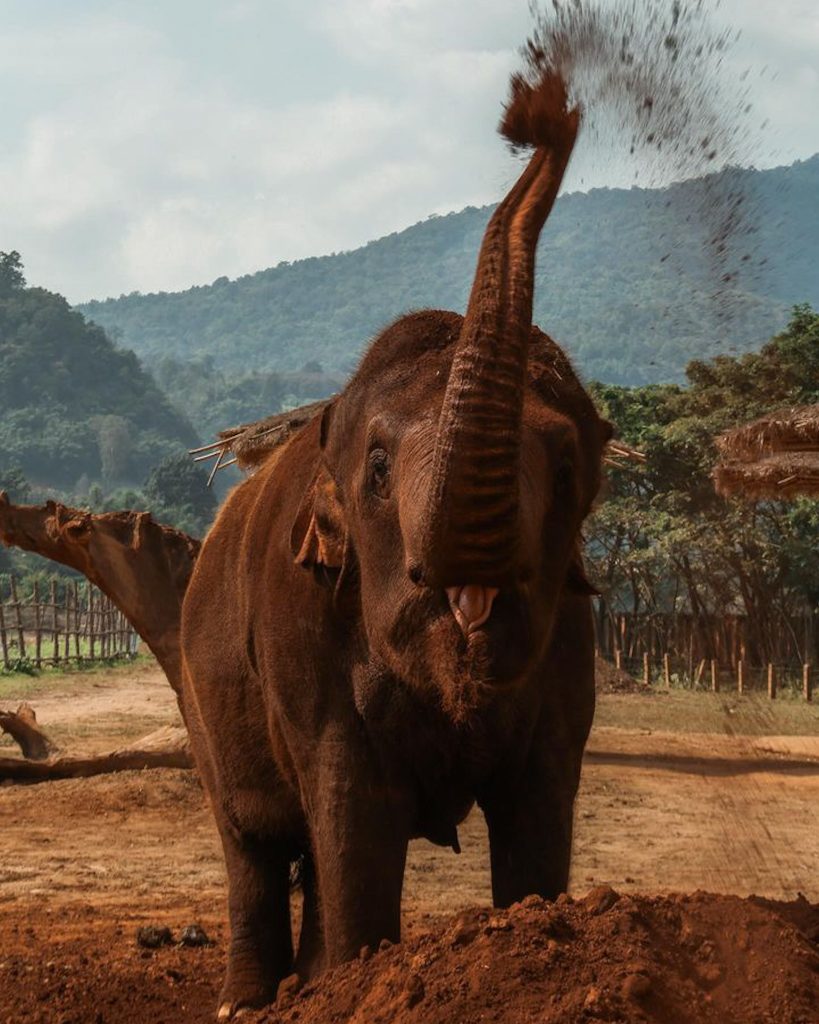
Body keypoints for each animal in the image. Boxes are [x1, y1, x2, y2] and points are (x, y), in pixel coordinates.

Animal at [180, 69, 612, 1019]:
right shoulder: (301, 626)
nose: (539, 109)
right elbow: (353, 802)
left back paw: (306, 983)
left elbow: (538, 798)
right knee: (253, 840)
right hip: (201, 691)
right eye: (377, 469)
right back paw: (249, 1001)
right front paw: (356, 979)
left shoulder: (571, 639)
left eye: (568, 468)